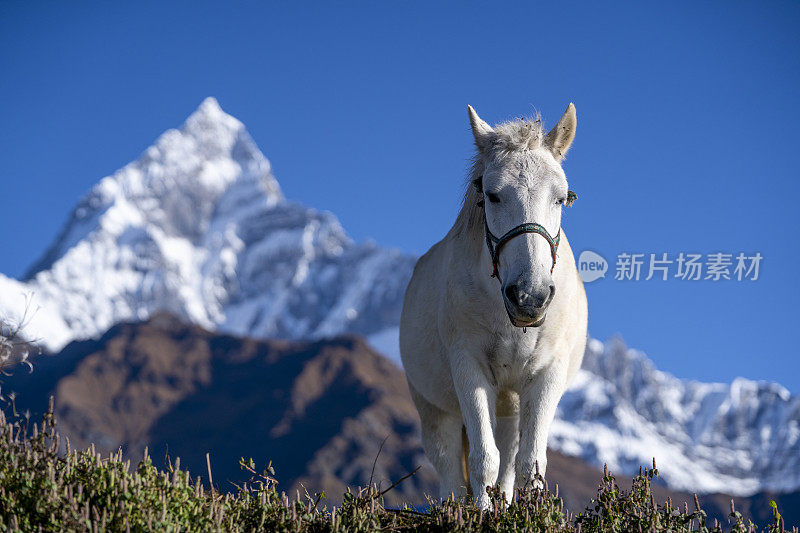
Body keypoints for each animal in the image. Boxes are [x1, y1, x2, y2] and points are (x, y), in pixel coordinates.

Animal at [400, 102, 588, 504]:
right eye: (493, 195)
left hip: (510, 410)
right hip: (436, 410)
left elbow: (529, 466)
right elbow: (484, 461)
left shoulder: (546, 376)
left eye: (561, 198)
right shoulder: (468, 368)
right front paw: (482, 513)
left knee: (508, 463)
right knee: (451, 473)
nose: (529, 297)